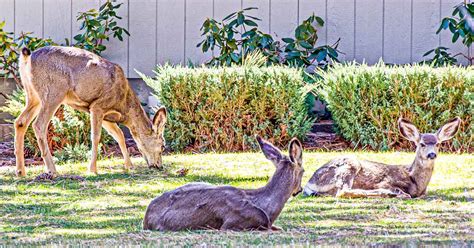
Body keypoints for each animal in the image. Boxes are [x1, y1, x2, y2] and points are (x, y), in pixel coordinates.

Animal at [15, 45, 167, 176]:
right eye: (162, 146)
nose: (159, 166)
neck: (124, 106)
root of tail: (27, 58)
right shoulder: (98, 106)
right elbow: (96, 137)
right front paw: (92, 169)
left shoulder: (103, 113)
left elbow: (119, 135)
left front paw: (129, 165)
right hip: (53, 91)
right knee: (38, 125)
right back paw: (52, 170)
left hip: (33, 96)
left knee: (20, 122)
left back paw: (20, 171)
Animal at [302, 117, 462, 199]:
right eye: (422, 144)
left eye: (438, 144)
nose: (432, 154)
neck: (416, 182)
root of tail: (310, 183)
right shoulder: (386, 181)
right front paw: (397, 192)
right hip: (350, 165)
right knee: (343, 191)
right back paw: (390, 193)